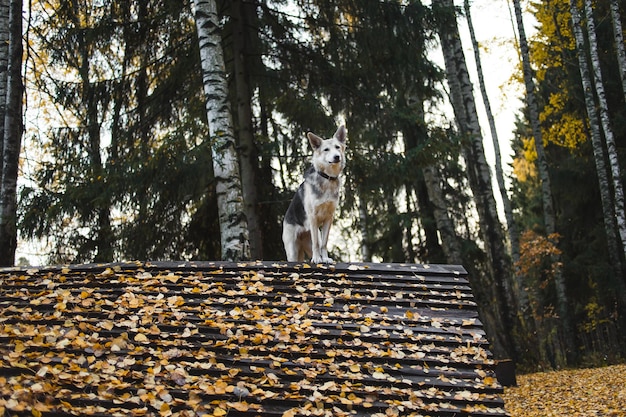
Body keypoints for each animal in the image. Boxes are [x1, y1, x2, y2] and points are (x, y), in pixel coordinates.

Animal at [282, 124, 346, 264]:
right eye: (326, 150)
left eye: (337, 147)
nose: (337, 156)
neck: (327, 179)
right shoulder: (313, 217)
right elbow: (316, 243)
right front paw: (317, 259)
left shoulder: (329, 218)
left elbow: (323, 243)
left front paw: (325, 258)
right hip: (293, 251)